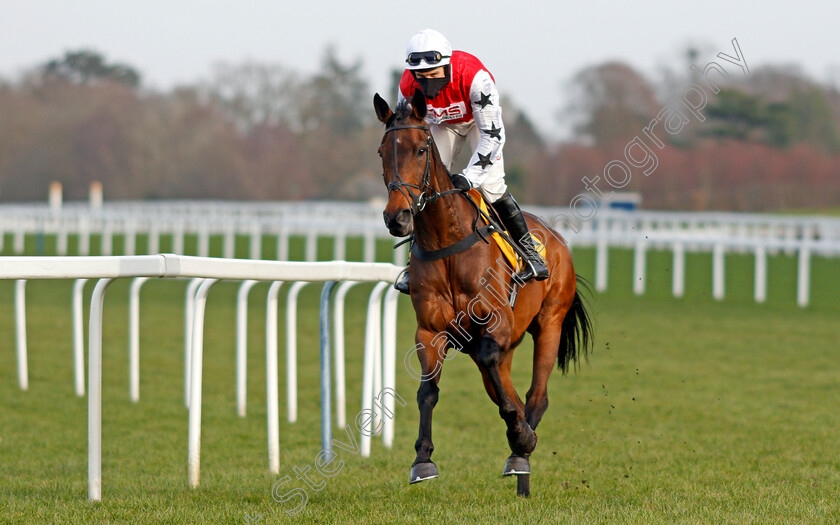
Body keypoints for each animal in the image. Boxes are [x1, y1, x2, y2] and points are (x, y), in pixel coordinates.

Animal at [374, 87, 592, 496]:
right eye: (382, 152)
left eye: (421, 149)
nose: (397, 217)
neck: (447, 242)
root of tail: (555, 239)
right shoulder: (430, 331)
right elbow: (428, 392)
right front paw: (422, 460)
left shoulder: (497, 324)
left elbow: (498, 372)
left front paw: (521, 438)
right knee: (507, 391)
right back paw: (520, 462)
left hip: (550, 322)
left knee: (535, 396)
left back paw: (521, 451)